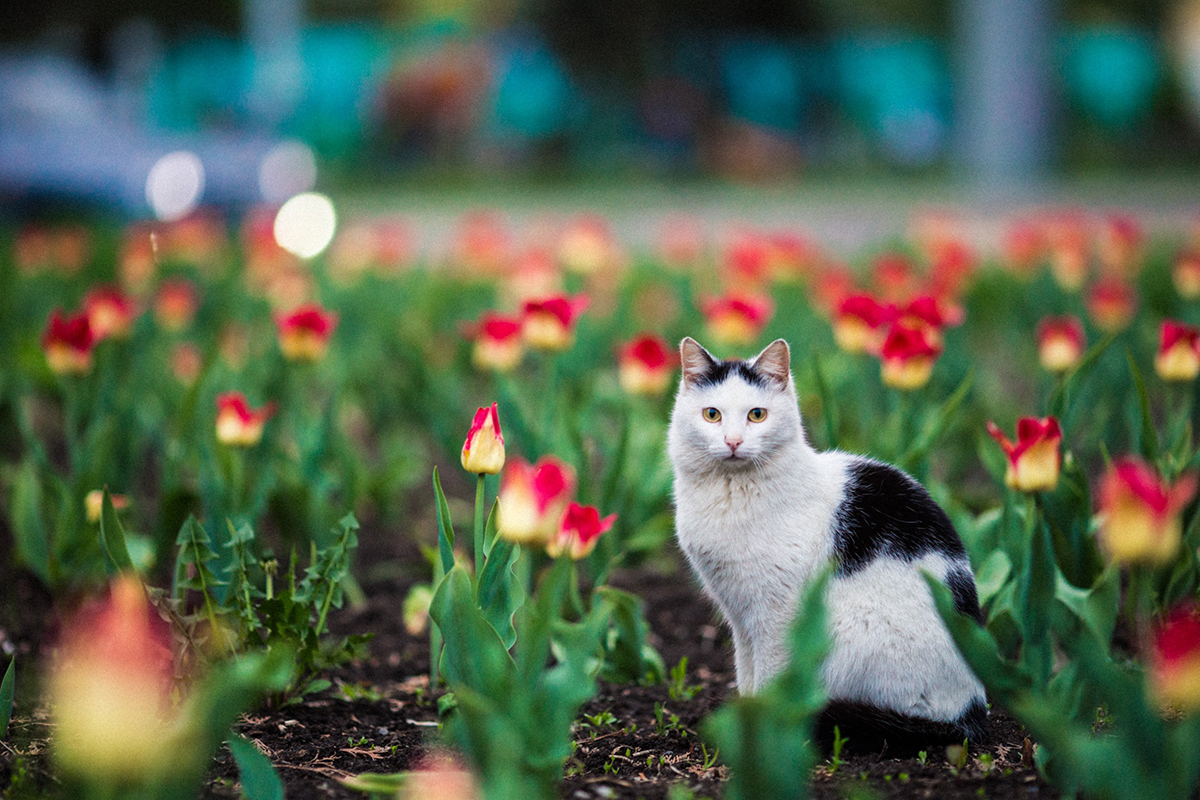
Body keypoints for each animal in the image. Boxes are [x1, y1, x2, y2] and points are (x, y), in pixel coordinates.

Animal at [667, 335, 984, 748]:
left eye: (757, 415)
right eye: (711, 415)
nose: (733, 441)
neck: (731, 493)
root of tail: (972, 710)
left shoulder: (777, 614)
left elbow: (768, 675)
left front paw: (764, 731)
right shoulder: (740, 616)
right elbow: (746, 670)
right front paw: (747, 720)